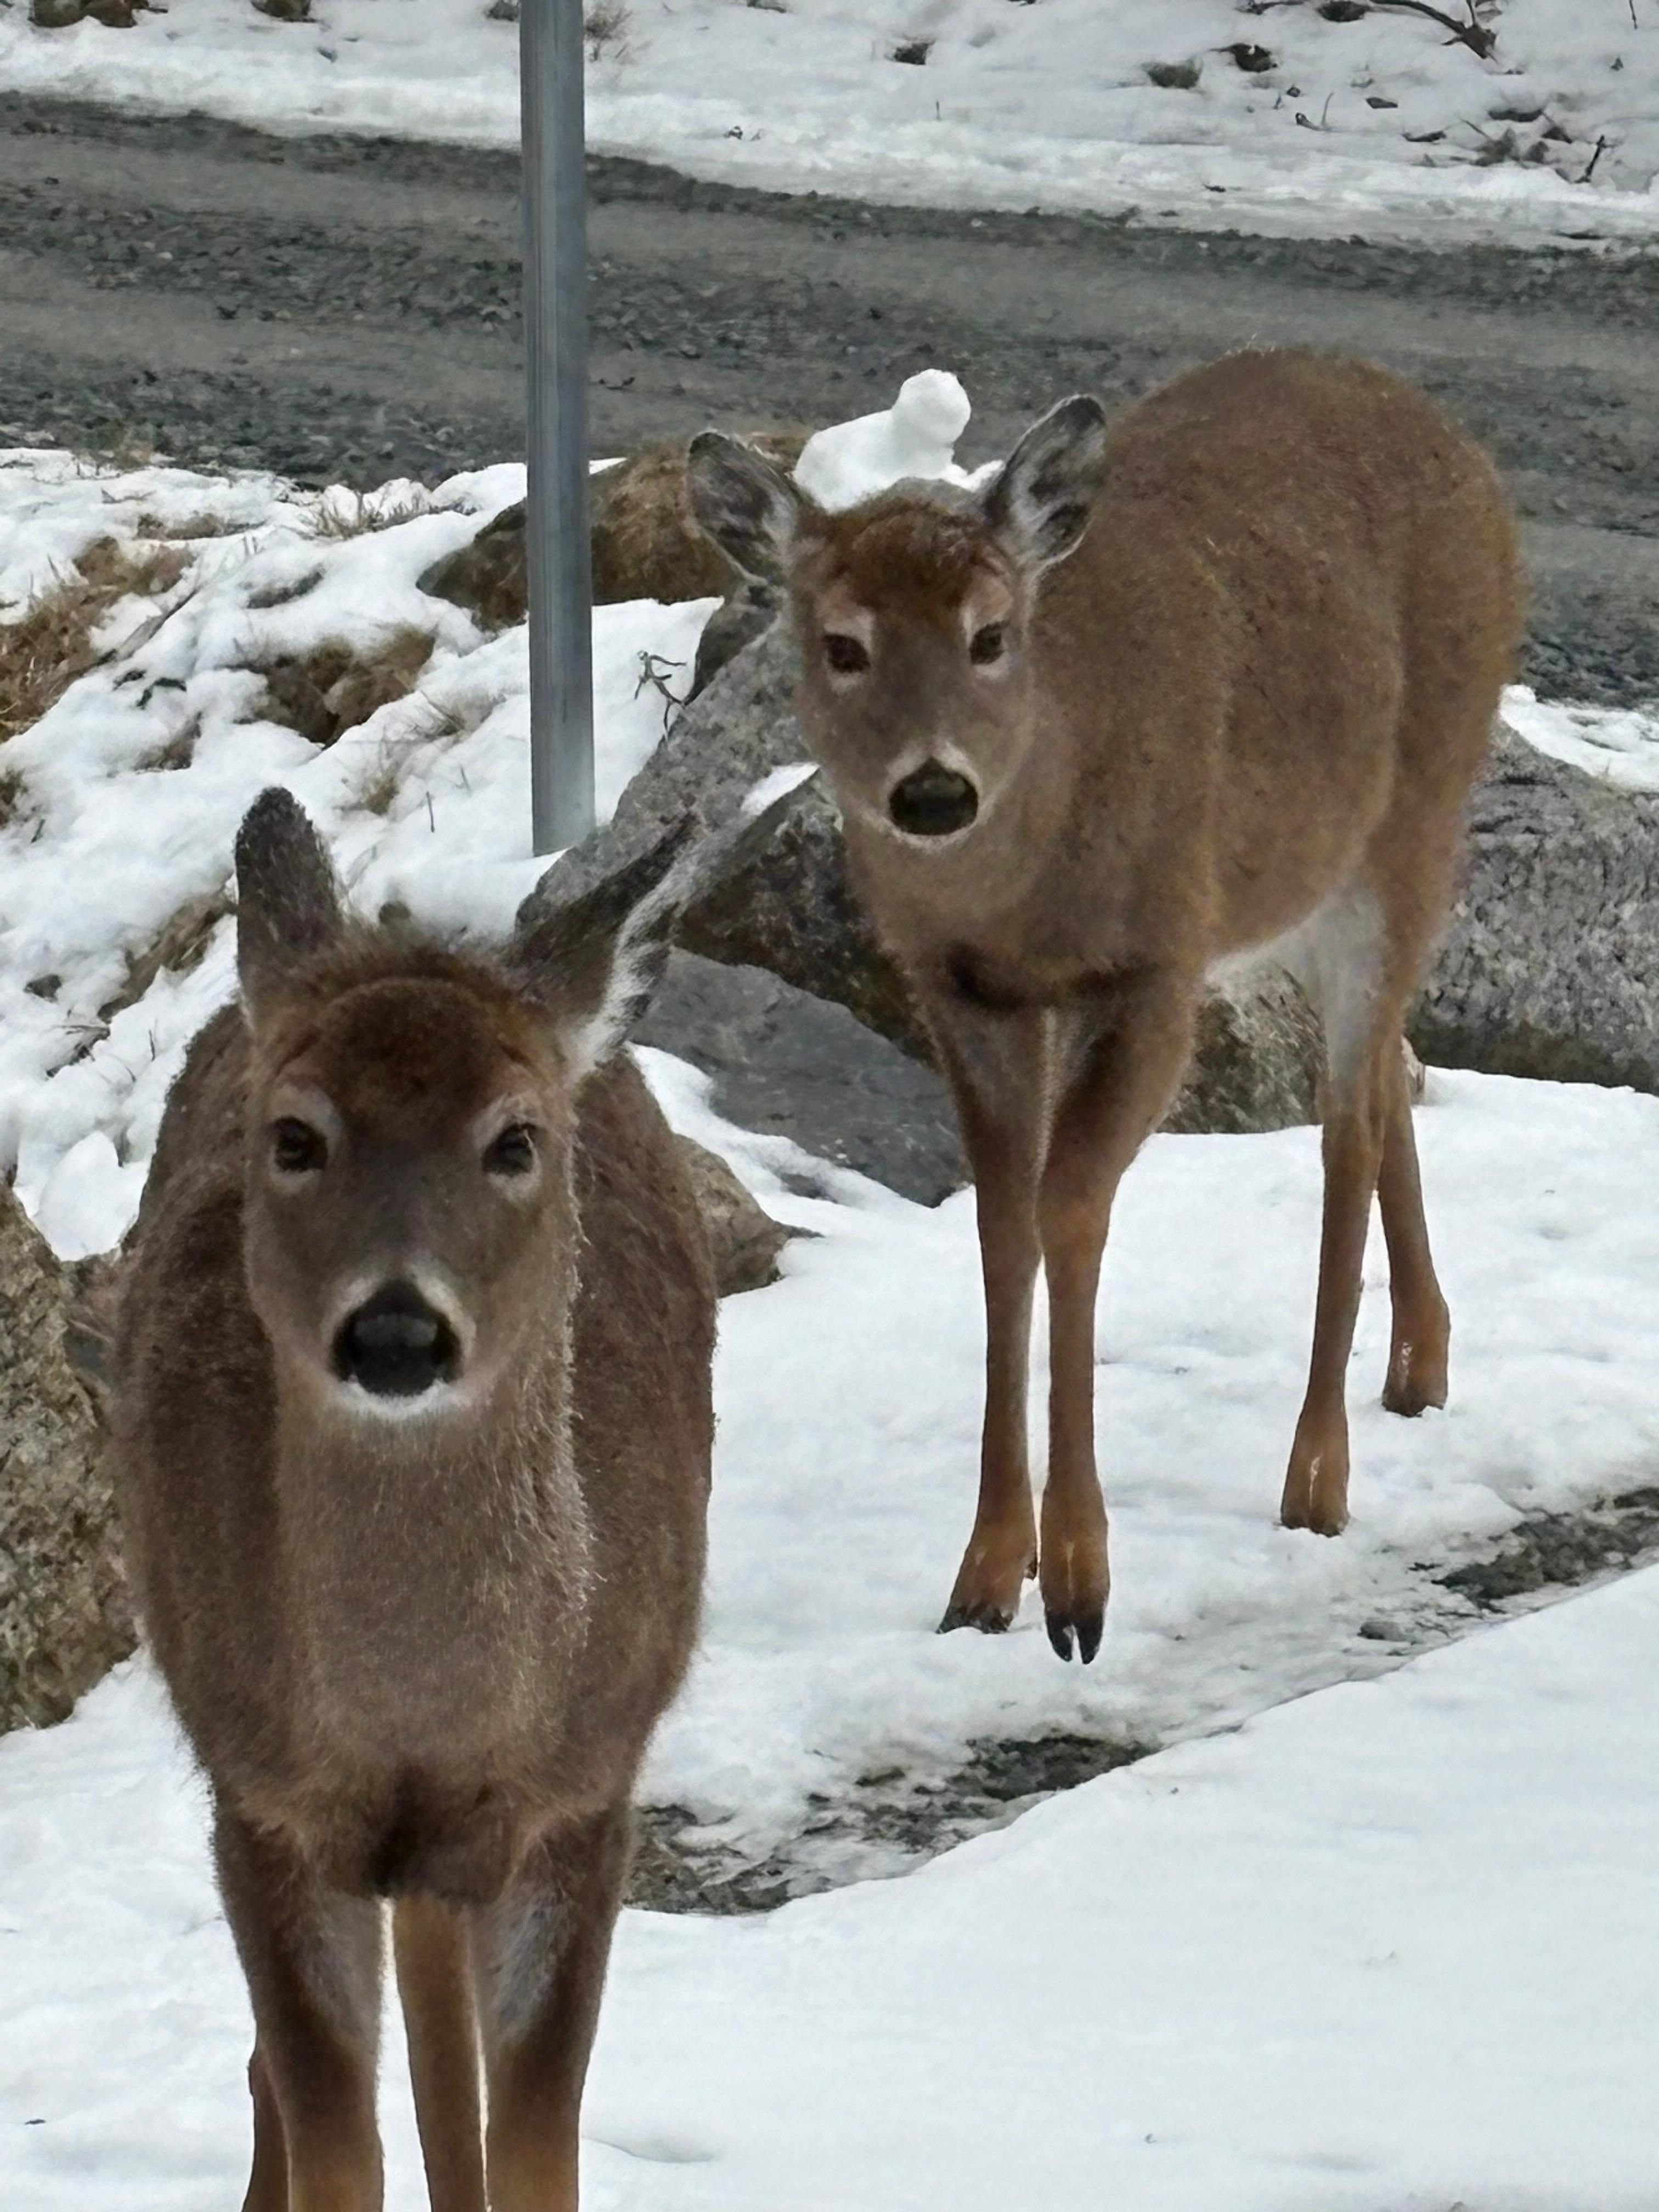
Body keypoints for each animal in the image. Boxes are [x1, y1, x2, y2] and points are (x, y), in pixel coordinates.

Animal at [108, 786, 717, 2212]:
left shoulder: (585, 1795)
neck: (424, 1722)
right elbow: (336, 2141)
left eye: (515, 1139)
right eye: (296, 1136)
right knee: (294, 2076)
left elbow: (535, 2145)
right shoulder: (262, 1796)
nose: (395, 1332)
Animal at [689, 348, 1522, 1664]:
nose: (932, 791)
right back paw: (1421, 1365)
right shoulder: (958, 993)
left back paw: (1318, 1473)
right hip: (1297, 885)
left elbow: (1070, 1206)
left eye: (989, 634)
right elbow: (1001, 1223)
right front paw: (987, 1573)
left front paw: (1078, 1587)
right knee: (1389, 1071)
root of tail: (1447, 437)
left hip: (1414, 821)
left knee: (1347, 1123)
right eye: (840, 644)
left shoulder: (1150, 967)